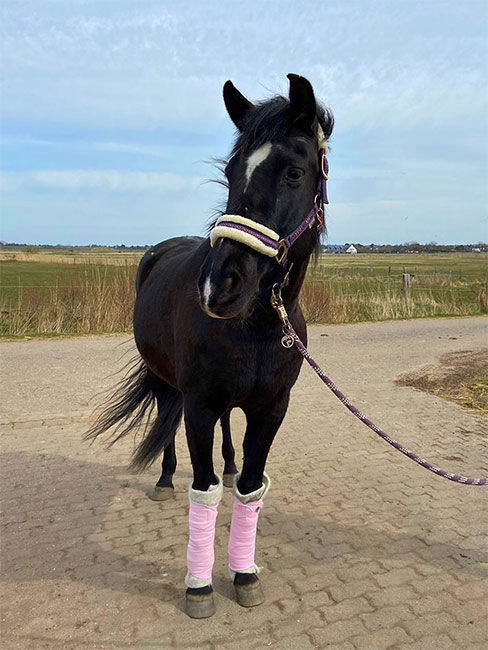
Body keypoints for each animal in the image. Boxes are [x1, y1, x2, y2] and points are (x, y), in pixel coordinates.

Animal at [88, 73, 332, 616]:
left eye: (294, 172)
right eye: (230, 170)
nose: (218, 287)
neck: (257, 326)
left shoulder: (270, 410)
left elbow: (249, 488)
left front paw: (244, 574)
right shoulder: (198, 403)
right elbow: (203, 490)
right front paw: (198, 586)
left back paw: (228, 462)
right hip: (166, 380)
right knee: (167, 417)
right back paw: (164, 480)